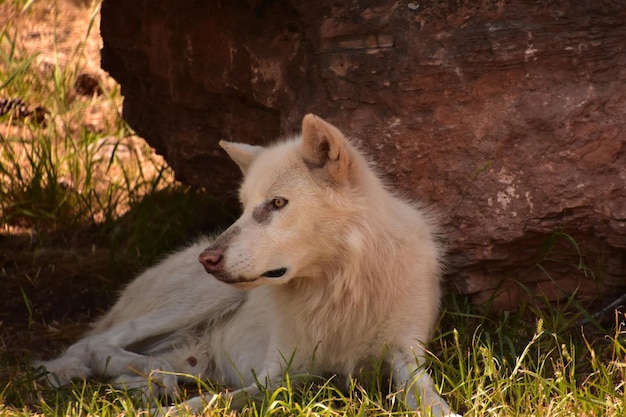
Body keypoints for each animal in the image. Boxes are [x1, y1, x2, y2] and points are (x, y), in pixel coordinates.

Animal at [39, 114, 458, 416]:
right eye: (241, 208)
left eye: (277, 203)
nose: (207, 259)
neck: (339, 285)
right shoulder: (278, 375)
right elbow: (209, 402)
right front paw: (163, 411)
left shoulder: (407, 358)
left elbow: (432, 400)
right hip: (207, 299)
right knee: (94, 343)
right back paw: (145, 380)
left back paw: (147, 380)